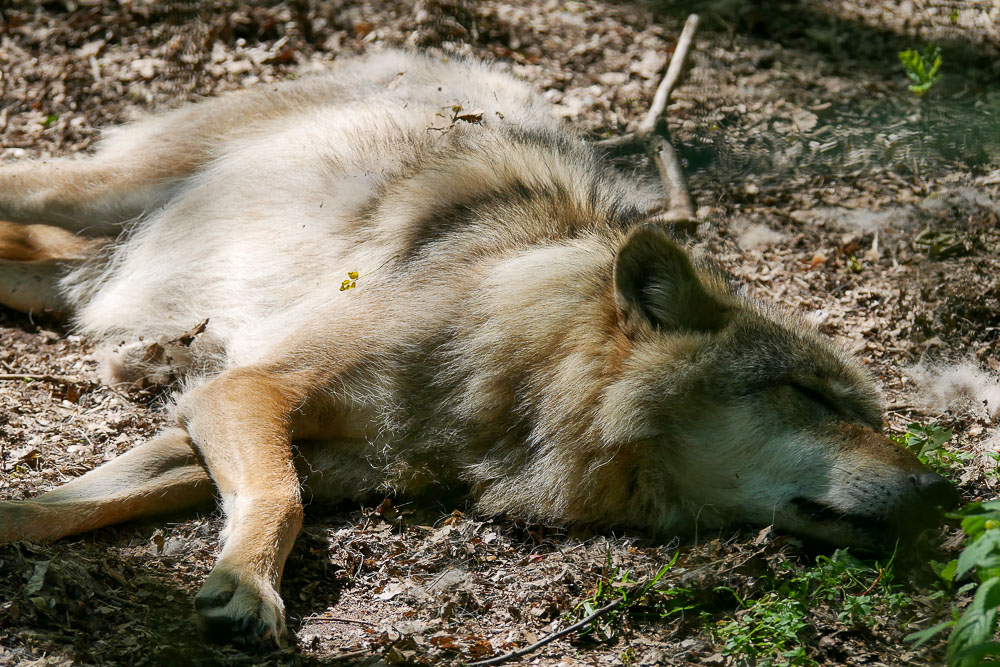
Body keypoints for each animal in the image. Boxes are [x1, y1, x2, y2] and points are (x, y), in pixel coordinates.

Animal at [0, 49, 956, 644]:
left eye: (872, 415)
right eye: (810, 396)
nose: (943, 490)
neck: (514, 382)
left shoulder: (227, 426)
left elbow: (60, 506)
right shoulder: (248, 391)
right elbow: (279, 501)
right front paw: (249, 589)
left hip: (76, 271)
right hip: (94, 190)